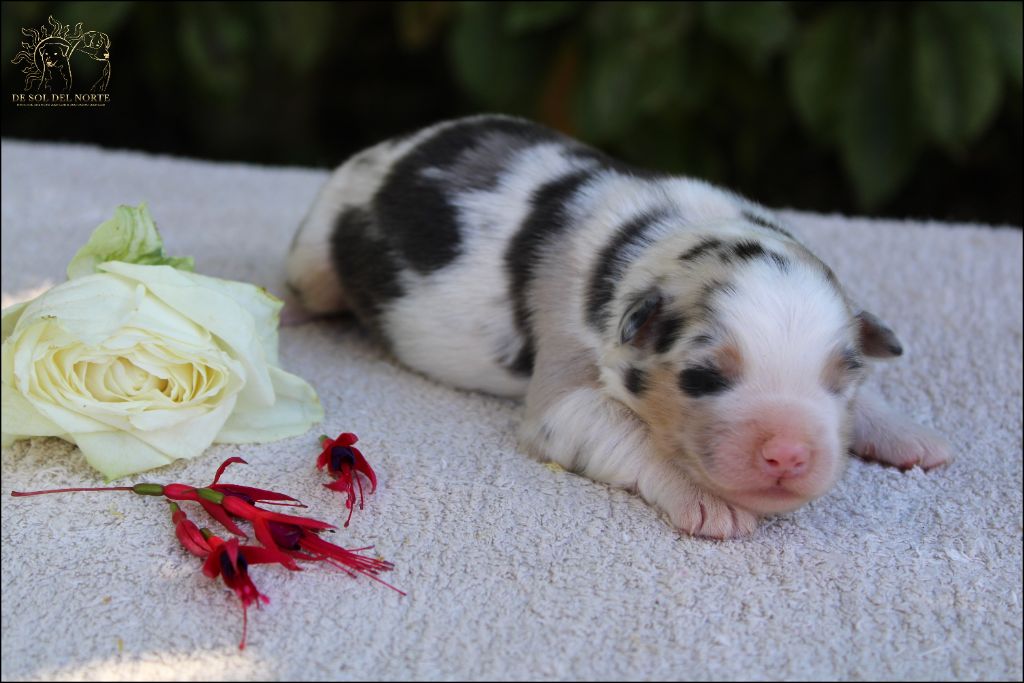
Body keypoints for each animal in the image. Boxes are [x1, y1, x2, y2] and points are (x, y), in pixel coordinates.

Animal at [284, 113, 946, 540]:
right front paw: (709, 503)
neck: (658, 237)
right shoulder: (563, 391)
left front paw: (910, 436)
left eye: (840, 383)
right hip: (317, 254)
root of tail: (396, 142)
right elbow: (627, 433)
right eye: (704, 378)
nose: (789, 454)